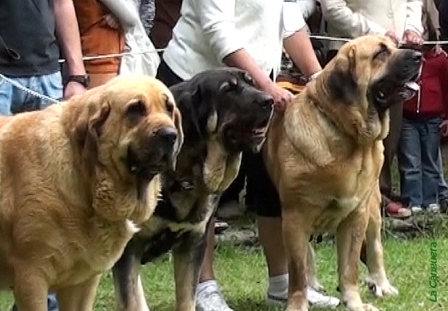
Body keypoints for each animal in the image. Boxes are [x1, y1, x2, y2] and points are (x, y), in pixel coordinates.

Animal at [112, 69, 274, 311]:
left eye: (251, 82)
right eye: (228, 90)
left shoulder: (191, 244)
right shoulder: (128, 249)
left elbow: (186, 298)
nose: (270, 100)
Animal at [262, 35, 420, 310]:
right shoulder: (294, 217)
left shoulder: (355, 214)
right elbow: (297, 269)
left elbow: (350, 267)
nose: (420, 57)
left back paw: (381, 284)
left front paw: (354, 302)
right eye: (380, 53)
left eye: (392, 46)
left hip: (373, 206)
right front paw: (299, 302)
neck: (348, 133)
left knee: (375, 246)